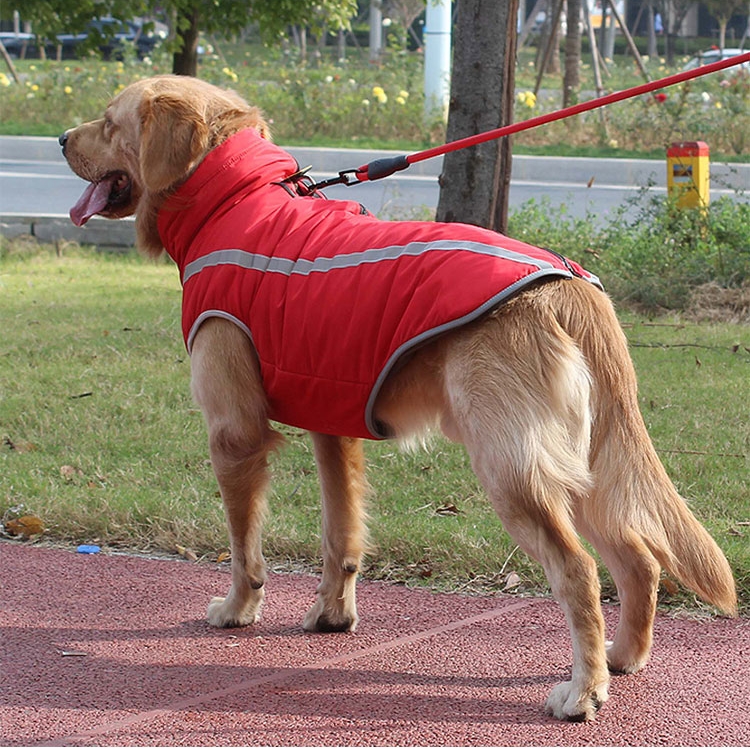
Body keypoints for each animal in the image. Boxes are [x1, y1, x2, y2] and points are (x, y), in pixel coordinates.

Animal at [57, 76, 736, 724]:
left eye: (109, 121)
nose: (62, 137)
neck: (237, 200)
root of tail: (569, 285)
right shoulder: (332, 426)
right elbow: (340, 536)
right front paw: (332, 615)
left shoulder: (234, 432)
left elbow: (243, 543)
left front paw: (238, 607)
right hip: (583, 465)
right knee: (640, 558)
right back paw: (622, 658)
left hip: (512, 471)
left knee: (580, 572)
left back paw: (584, 692)